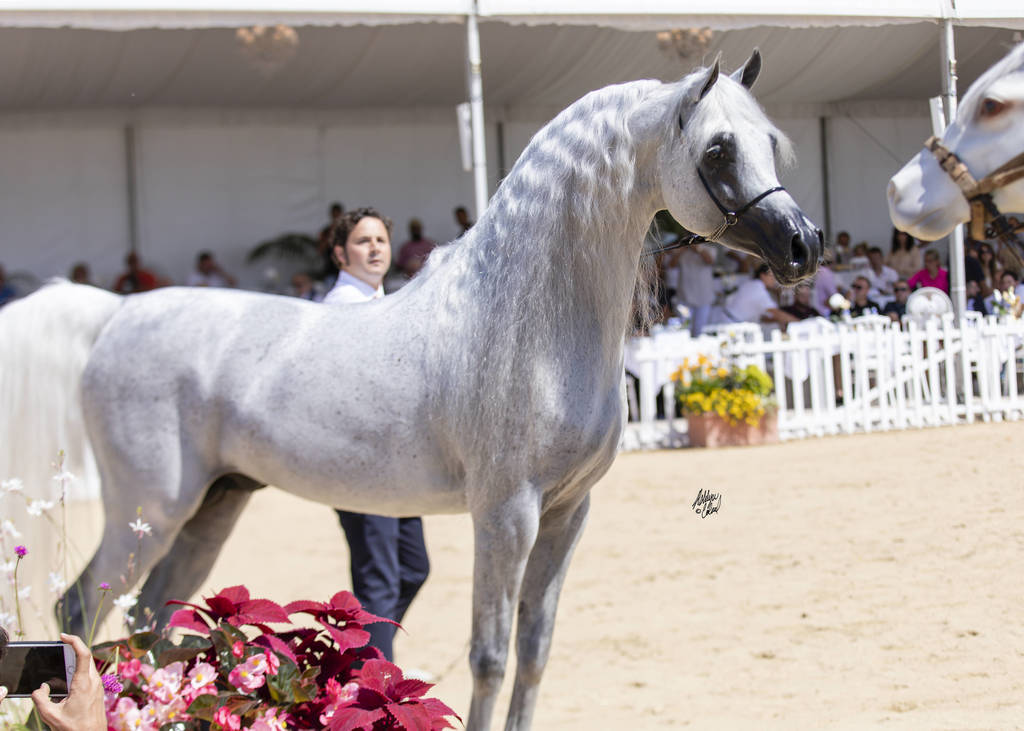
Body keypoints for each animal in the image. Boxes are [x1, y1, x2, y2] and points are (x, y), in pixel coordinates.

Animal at [0, 50, 821, 730]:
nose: (803, 245)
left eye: (768, 140)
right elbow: (489, 656)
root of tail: (116, 312)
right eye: (717, 149)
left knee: (152, 617)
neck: (525, 321)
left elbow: (534, 652)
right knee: (83, 606)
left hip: (212, 505)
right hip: (149, 505)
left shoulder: (567, 513)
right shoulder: (506, 514)